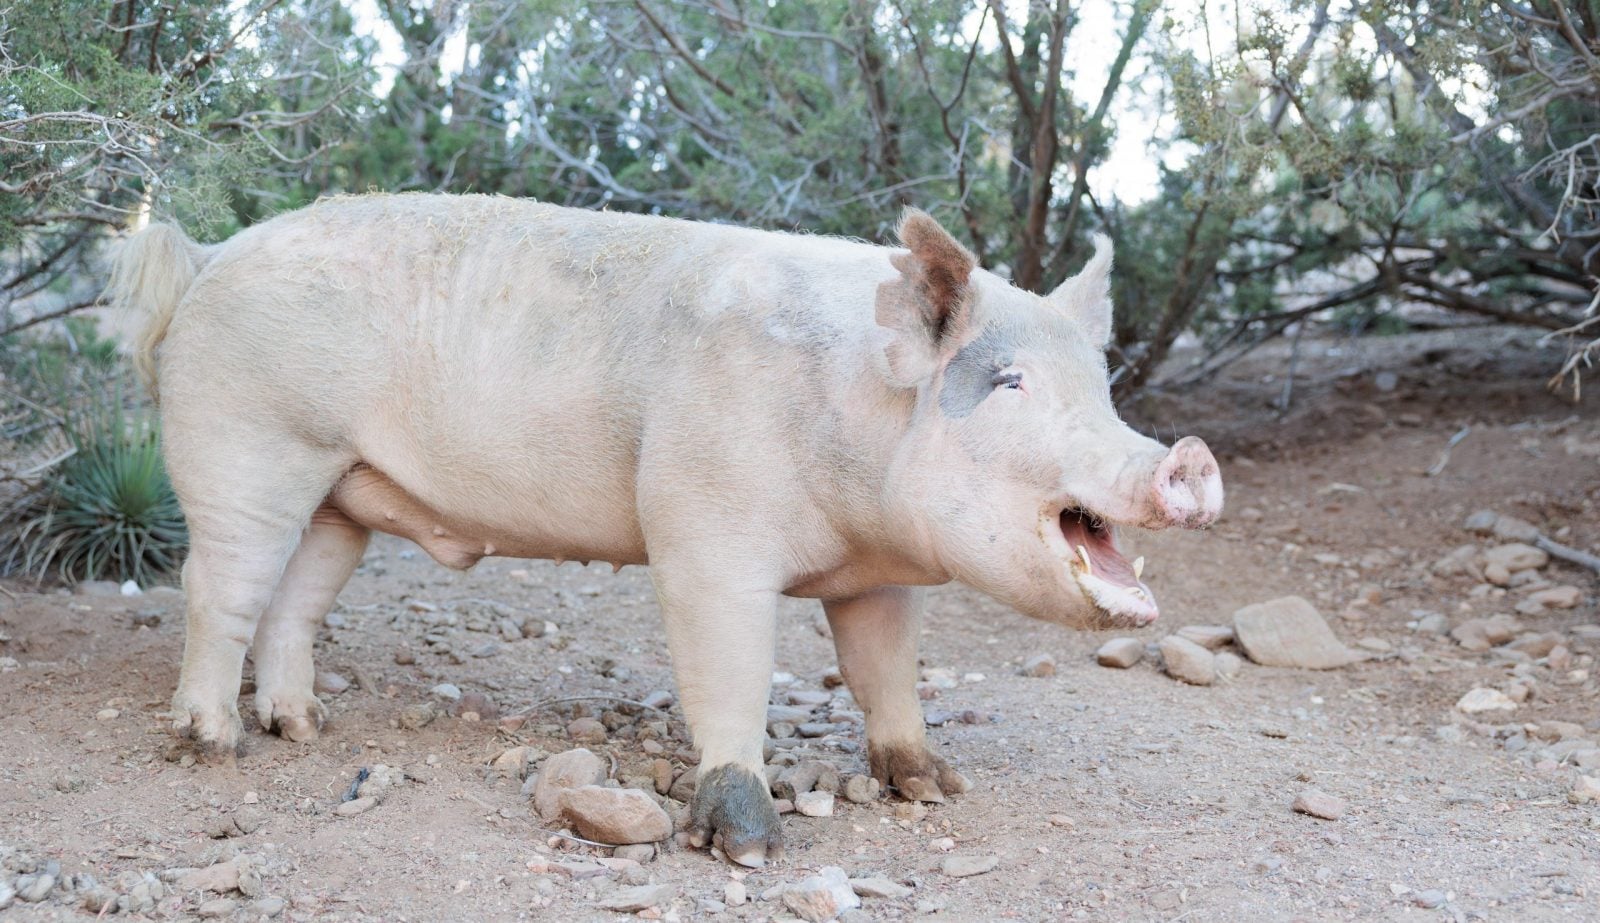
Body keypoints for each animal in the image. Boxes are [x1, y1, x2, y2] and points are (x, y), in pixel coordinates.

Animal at [107, 194, 1222, 866]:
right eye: (1010, 383)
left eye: (1100, 385)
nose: (1188, 457)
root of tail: (205, 256)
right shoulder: (702, 532)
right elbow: (728, 672)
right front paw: (750, 845)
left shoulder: (877, 577)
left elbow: (886, 672)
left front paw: (932, 787)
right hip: (245, 443)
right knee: (220, 588)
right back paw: (211, 742)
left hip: (341, 489)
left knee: (294, 601)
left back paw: (303, 728)